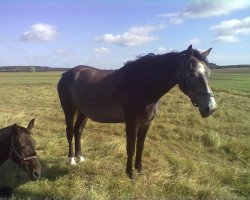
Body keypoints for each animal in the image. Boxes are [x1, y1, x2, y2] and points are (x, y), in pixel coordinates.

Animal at [57, 45, 217, 180]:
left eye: (208, 73)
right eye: (191, 73)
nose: (210, 108)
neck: (141, 86)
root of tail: (66, 74)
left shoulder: (146, 123)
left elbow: (140, 146)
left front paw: (140, 170)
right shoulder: (131, 124)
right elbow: (131, 148)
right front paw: (130, 174)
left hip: (84, 112)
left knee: (78, 131)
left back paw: (80, 157)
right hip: (69, 110)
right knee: (70, 132)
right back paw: (71, 160)